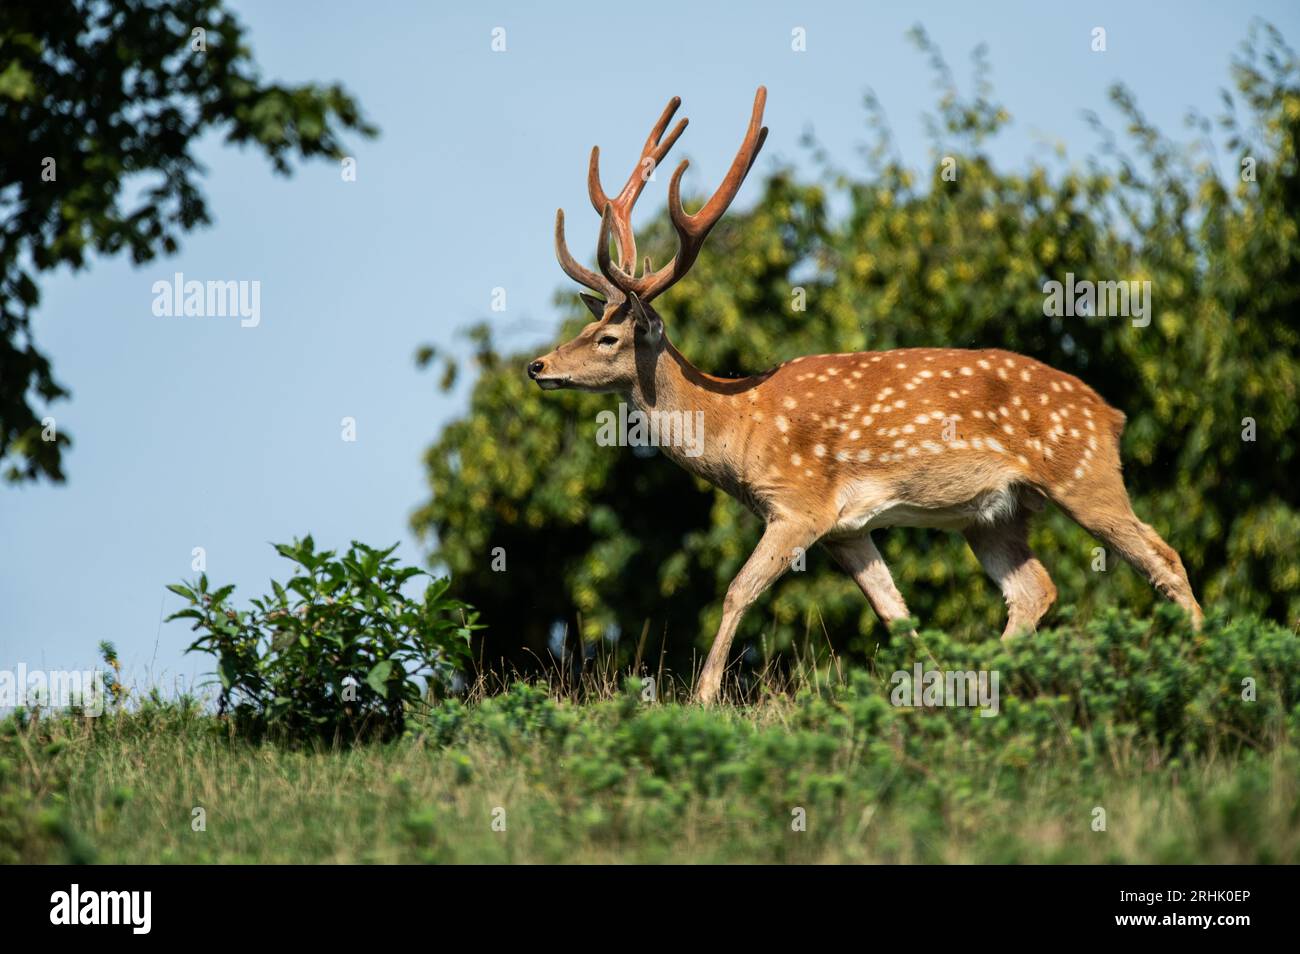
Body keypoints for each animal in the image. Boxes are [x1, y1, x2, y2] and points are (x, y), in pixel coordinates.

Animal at [522, 87, 1201, 701]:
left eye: (609, 338)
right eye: (585, 327)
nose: (538, 366)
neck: (738, 426)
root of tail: (1111, 413)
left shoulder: (800, 504)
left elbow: (738, 590)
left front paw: (703, 699)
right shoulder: (846, 529)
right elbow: (896, 614)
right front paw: (927, 691)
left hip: (1083, 473)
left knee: (1162, 556)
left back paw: (1202, 664)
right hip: (995, 513)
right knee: (1036, 589)